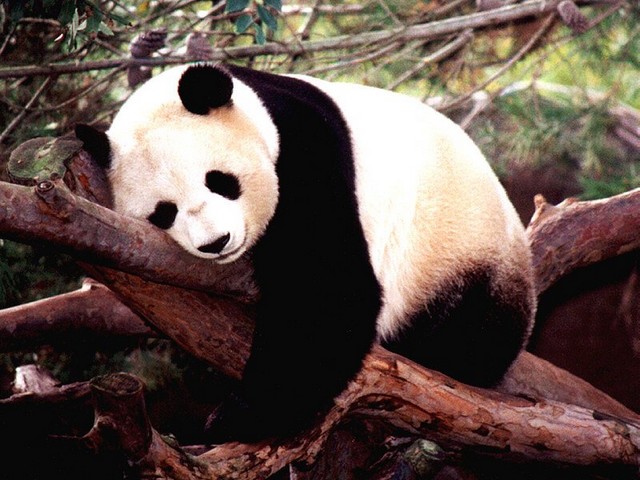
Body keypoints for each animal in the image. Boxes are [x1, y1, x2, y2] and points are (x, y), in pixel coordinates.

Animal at [76, 63, 536, 443]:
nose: (216, 242)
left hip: (459, 252)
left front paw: (239, 416)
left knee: (471, 335)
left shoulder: (306, 150)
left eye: (220, 180)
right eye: (164, 212)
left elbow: (327, 291)